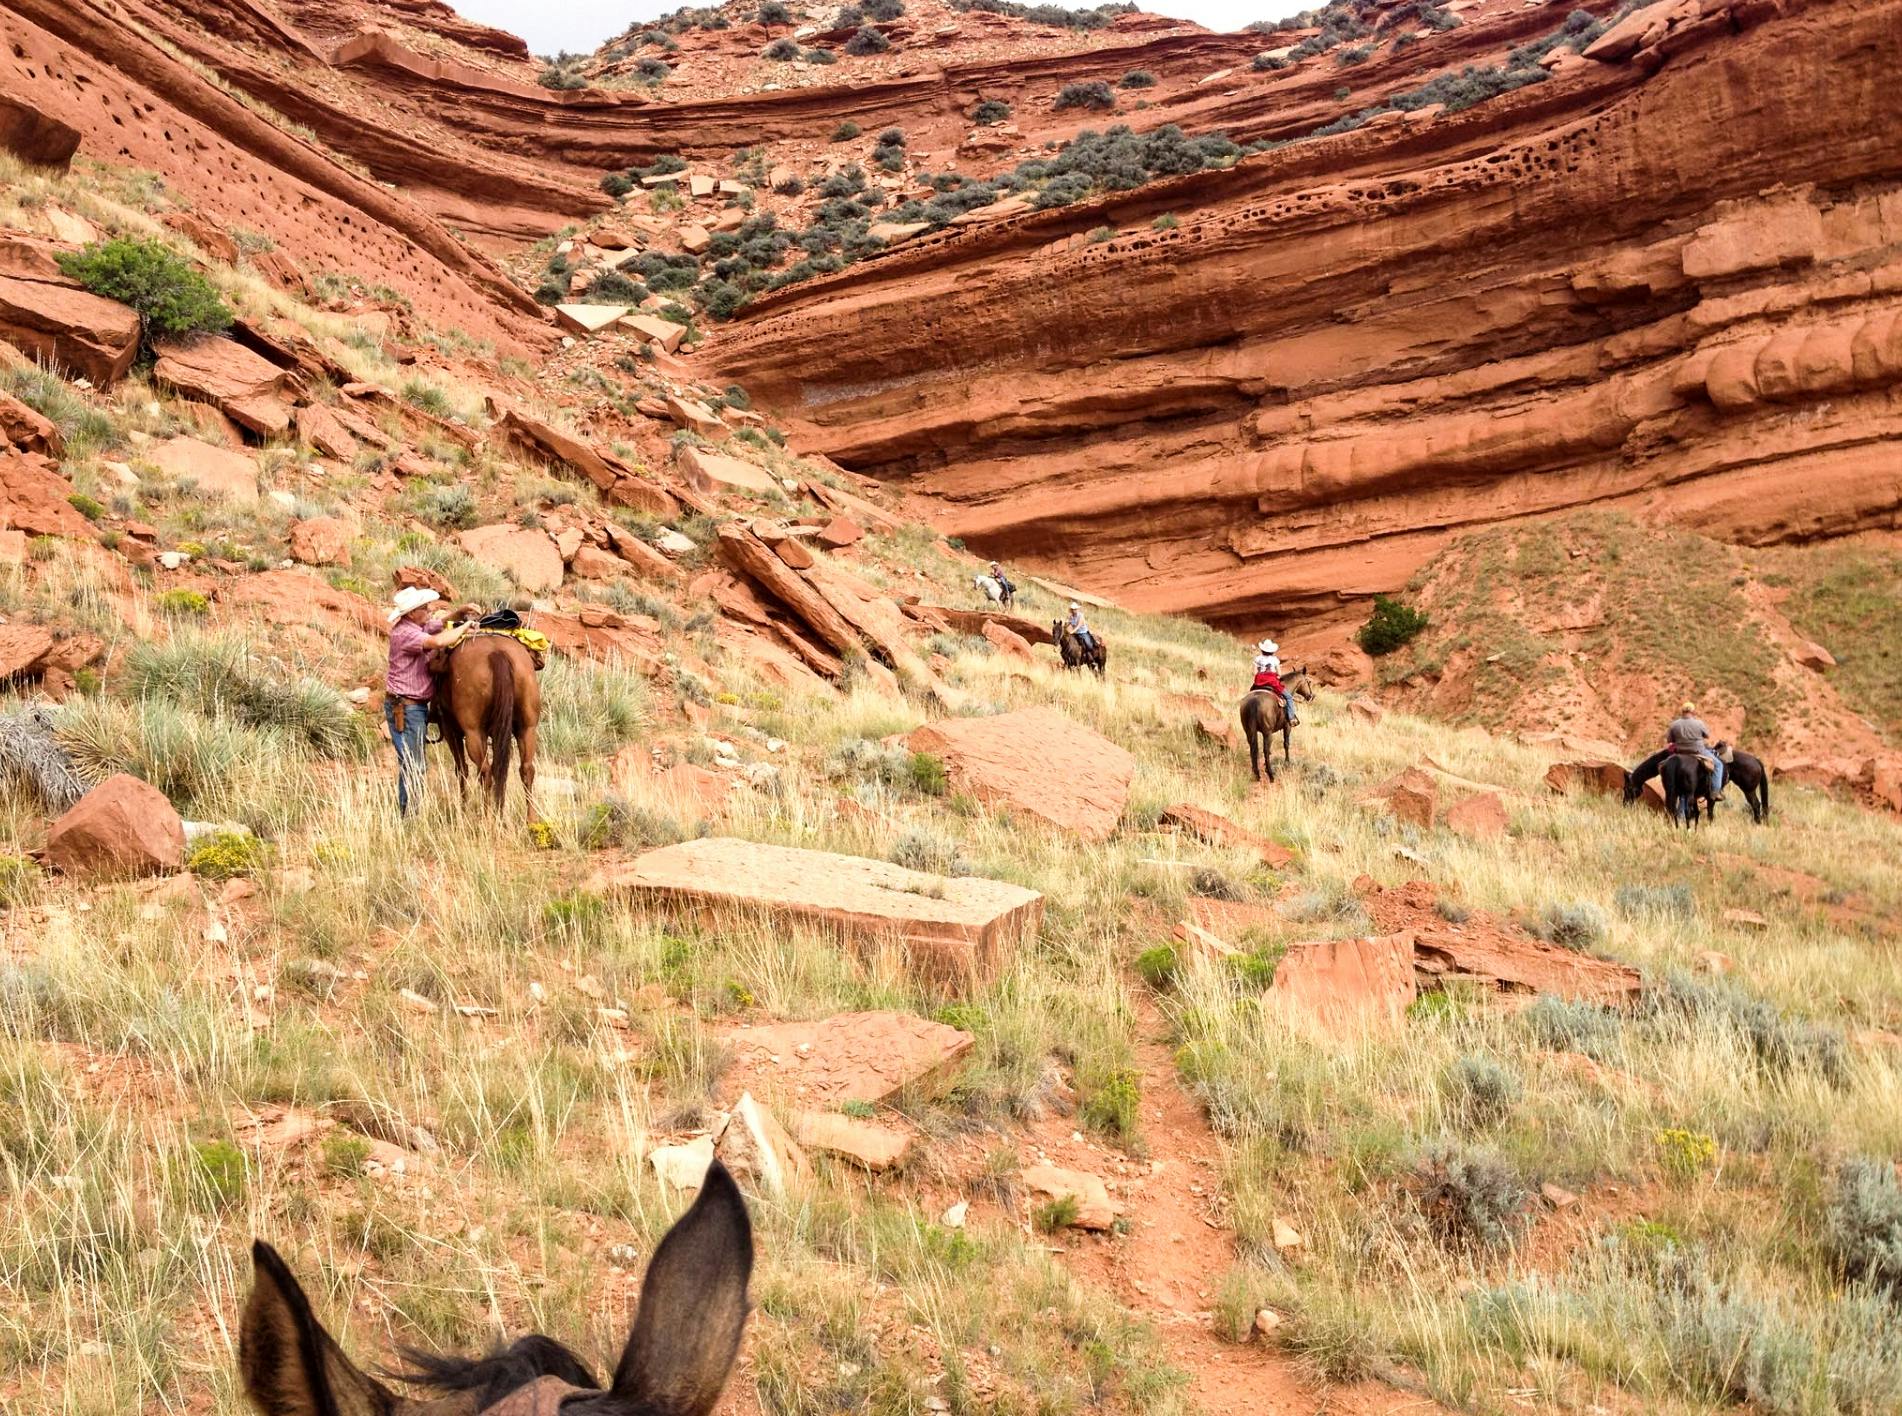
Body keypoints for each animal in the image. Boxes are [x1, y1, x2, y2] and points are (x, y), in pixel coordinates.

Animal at [439, 635, 543, 814]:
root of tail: (496, 652)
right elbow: (498, 767)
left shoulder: (450, 729)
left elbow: (461, 769)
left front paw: (463, 808)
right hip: (527, 728)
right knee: (525, 769)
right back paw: (529, 819)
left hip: (473, 732)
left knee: (484, 772)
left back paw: (487, 817)